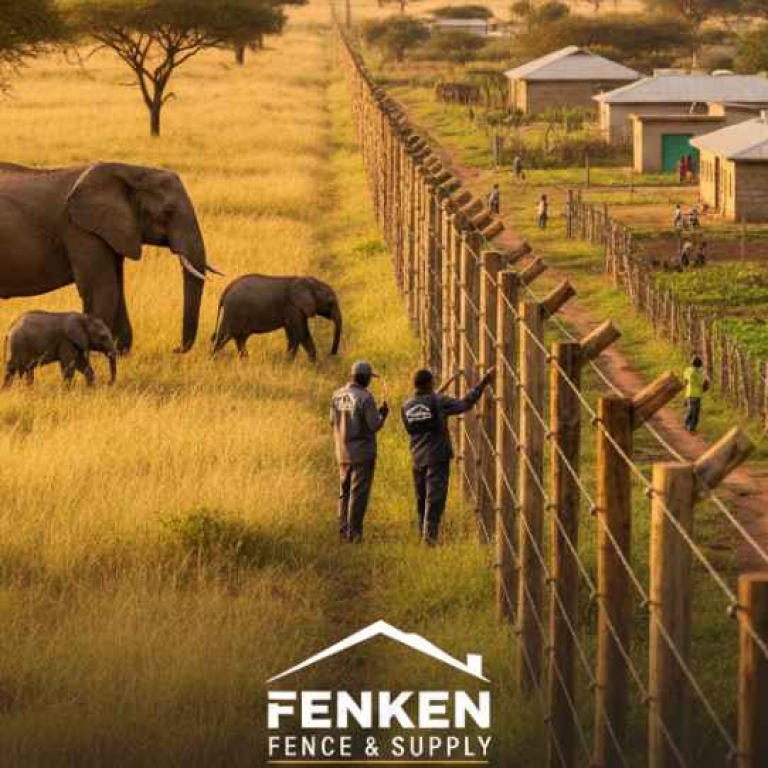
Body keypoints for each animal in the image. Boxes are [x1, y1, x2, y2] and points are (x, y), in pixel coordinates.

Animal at [0, 161, 224, 354]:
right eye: (167, 212)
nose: (175, 349)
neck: (130, 171)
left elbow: (117, 285)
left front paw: (121, 351)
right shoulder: (80, 229)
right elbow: (102, 288)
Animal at [211, 274, 342, 361]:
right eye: (331, 303)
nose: (332, 353)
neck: (308, 281)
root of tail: (226, 290)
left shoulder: (297, 309)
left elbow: (297, 333)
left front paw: (311, 363)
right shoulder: (293, 307)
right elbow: (300, 333)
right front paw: (291, 362)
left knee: (239, 337)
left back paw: (244, 360)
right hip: (233, 311)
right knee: (226, 336)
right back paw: (213, 359)